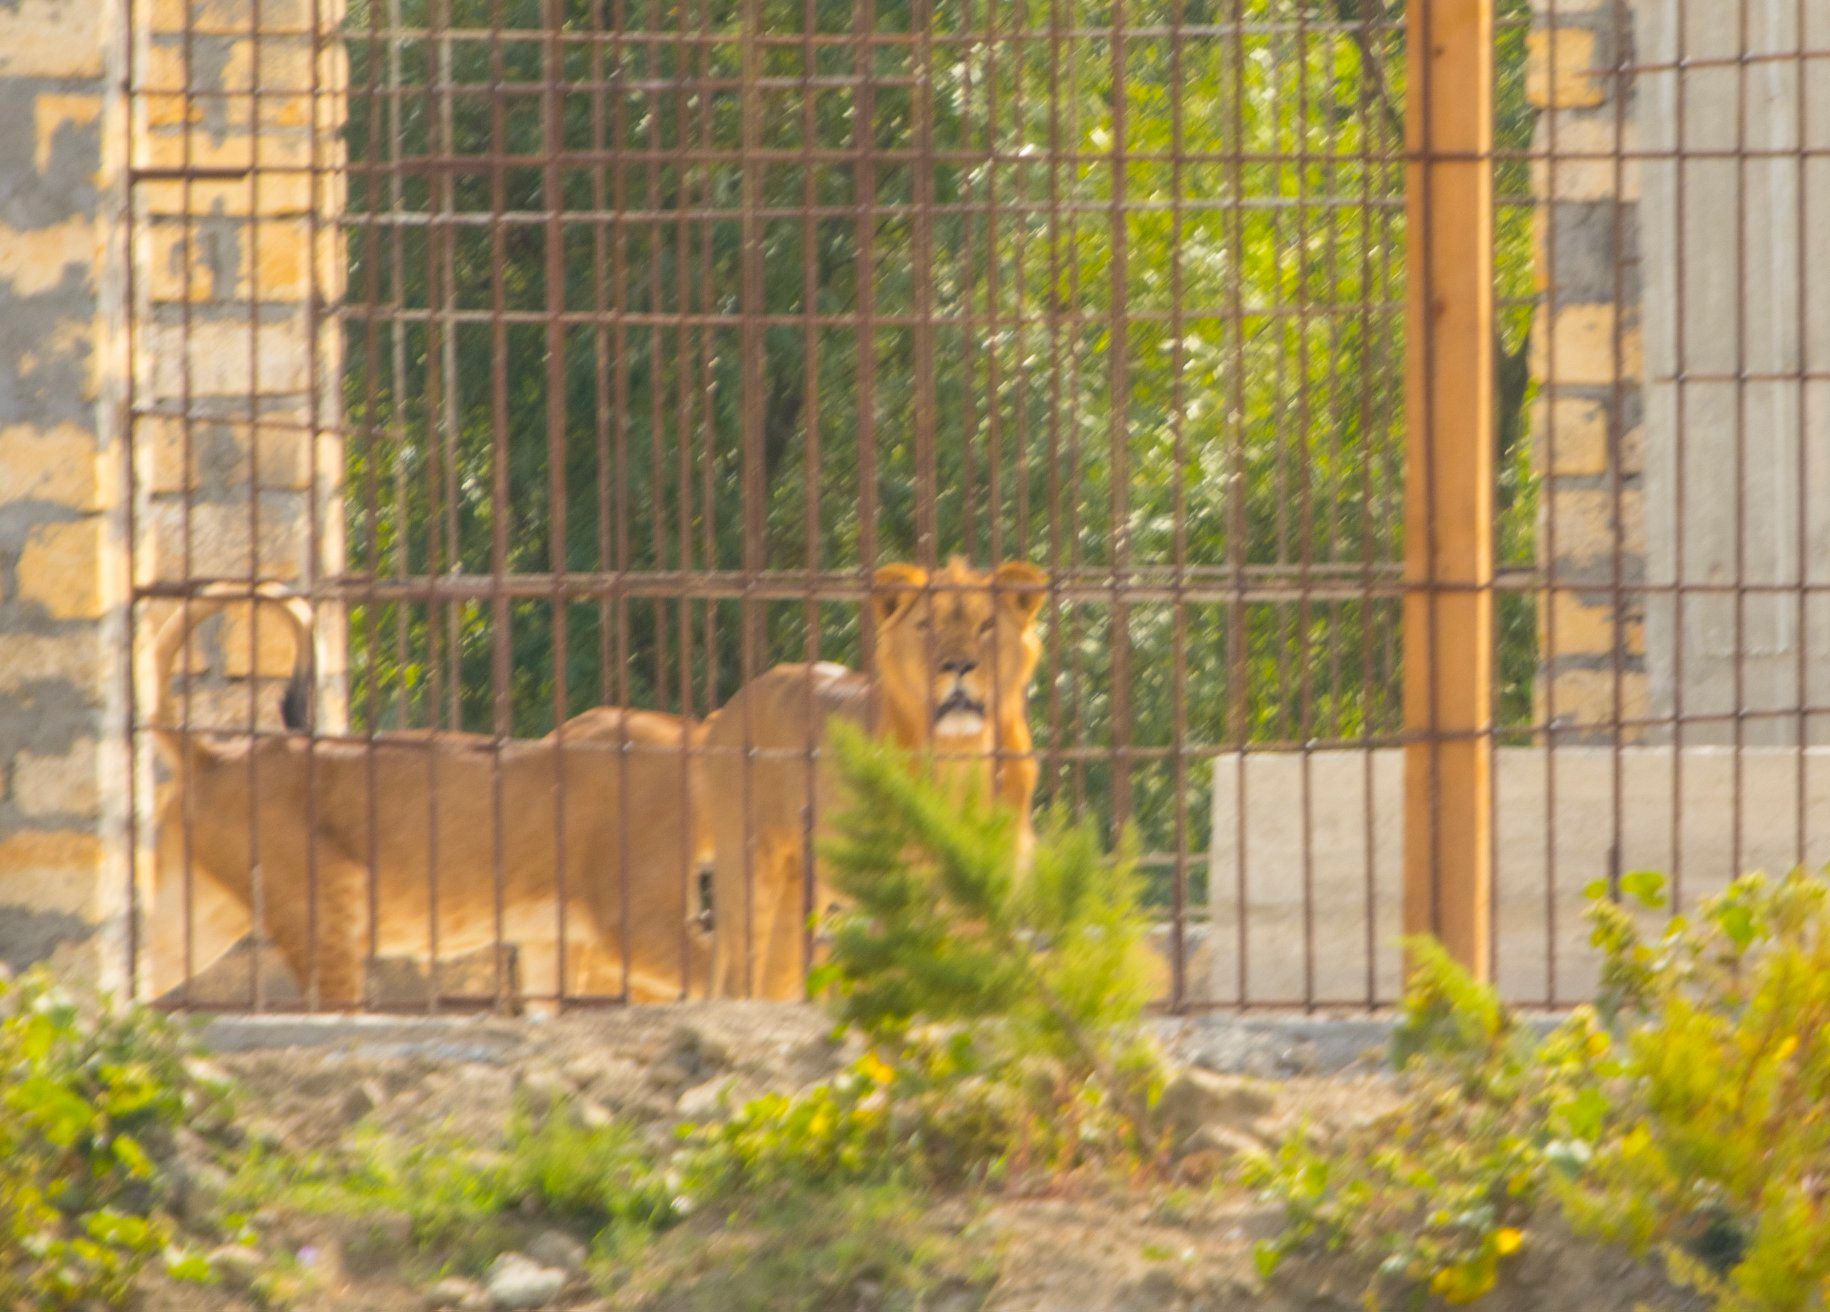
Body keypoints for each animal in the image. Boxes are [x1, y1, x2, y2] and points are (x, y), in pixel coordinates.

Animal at [140, 585, 713, 1010]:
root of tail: (214, 754)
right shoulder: (636, 925)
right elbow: (728, 978)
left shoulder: (554, 944)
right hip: (326, 903)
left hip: (195, 918)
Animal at [699, 556, 1046, 995]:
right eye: (926, 625)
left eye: (986, 625)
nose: (959, 665)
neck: (960, 755)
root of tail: (728, 708)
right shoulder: (894, 898)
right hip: (750, 872)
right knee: (737, 980)